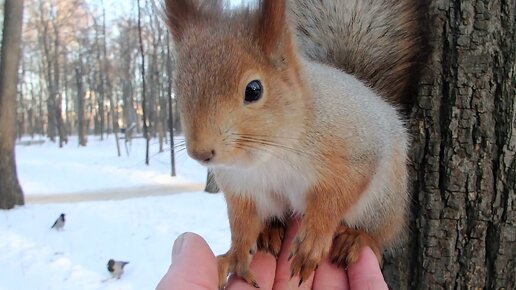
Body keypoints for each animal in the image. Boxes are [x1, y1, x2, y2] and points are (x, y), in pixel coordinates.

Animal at [164, 0, 428, 288]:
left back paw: (356, 239)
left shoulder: (355, 153)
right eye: (178, 88)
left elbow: (335, 198)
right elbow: (242, 224)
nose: (201, 153)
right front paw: (235, 256)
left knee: (379, 236)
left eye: (254, 90)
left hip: (382, 201)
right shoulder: (241, 188)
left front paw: (313, 241)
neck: (269, 155)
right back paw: (270, 232)